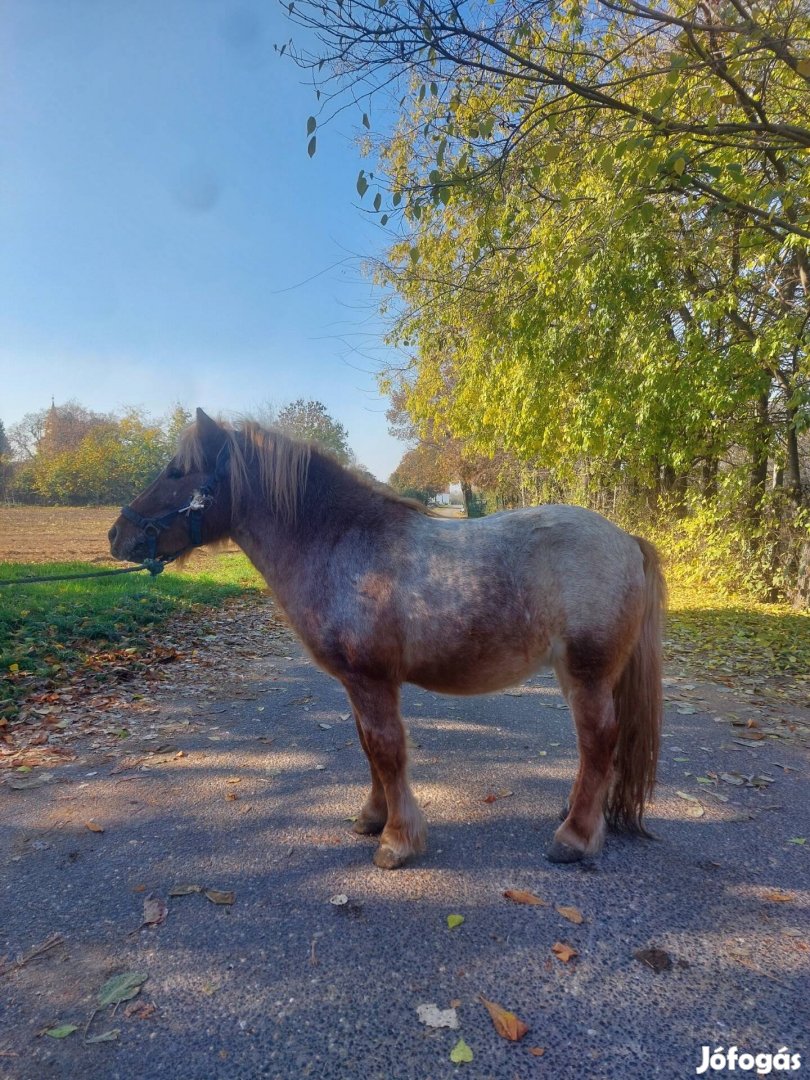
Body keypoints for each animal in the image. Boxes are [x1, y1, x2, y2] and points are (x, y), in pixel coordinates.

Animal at [108, 408, 665, 872]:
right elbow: (367, 748)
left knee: (598, 742)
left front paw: (396, 841)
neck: (341, 544)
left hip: (587, 674)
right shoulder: (356, 684)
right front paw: (372, 818)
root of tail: (625, 540)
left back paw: (574, 838)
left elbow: (386, 750)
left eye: (177, 472)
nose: (117, 535)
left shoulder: (372, 680)